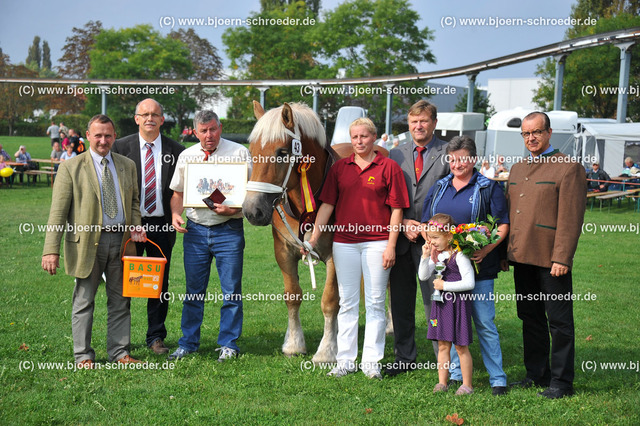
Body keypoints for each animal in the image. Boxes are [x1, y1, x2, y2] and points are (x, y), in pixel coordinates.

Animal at [241, 100, 340, 362]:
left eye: (282, 152)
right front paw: (294, 343)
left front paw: (327, 349)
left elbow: (329, 300)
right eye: (252, 152)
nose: (252, 210)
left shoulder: (337, 255)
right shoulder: (283, 251)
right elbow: (292, 295)